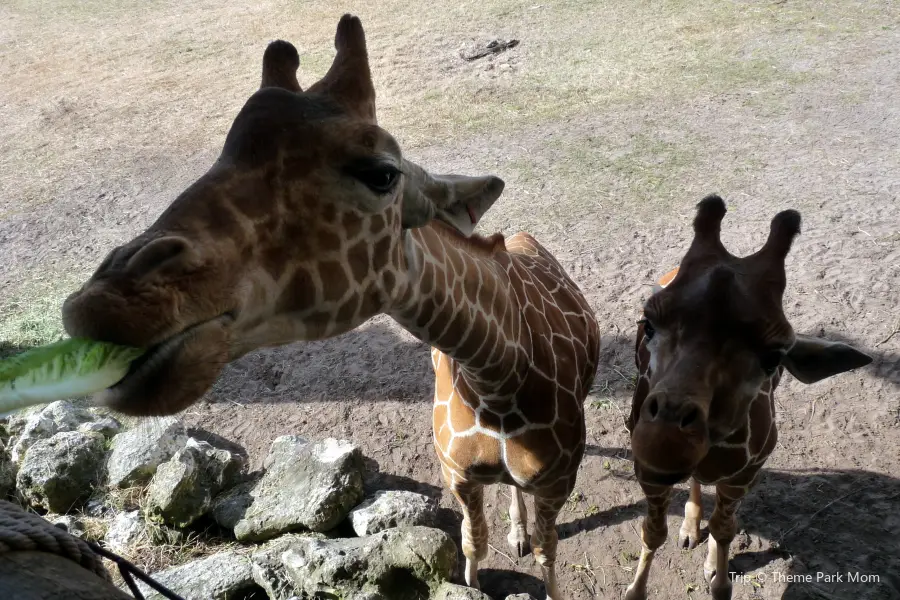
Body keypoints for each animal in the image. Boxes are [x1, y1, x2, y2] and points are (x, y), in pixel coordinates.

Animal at [59, 12, 600, 596]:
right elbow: (473, 545)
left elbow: (548, 555)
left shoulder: (558, 481)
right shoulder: (456, 474)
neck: (495, 379)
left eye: (382, 173)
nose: (106, 302)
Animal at [624, 195, 868, 596]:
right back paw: (689, 528)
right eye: (648, 325)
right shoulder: (647, 471)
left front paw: (717, 576)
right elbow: (653, 532)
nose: (664, 441)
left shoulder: (745, 474)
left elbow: (726, 529)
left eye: (774, 356)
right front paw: (636, 588)